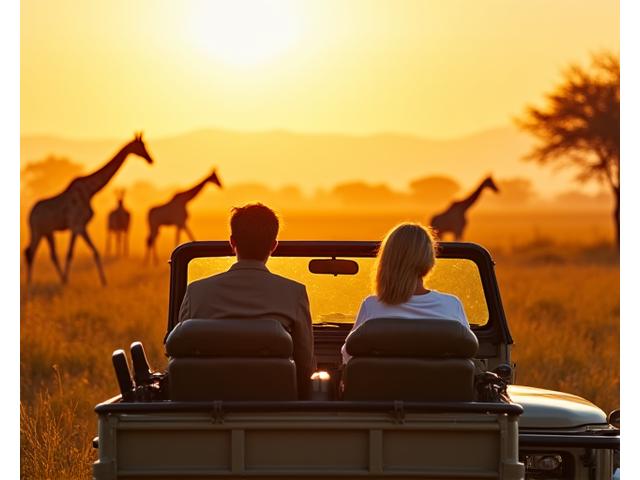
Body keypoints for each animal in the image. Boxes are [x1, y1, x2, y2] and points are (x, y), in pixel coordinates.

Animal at [24, 133, 154, 286]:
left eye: (145, 144)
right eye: (141, 146)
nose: (150, 160)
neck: (90, 191)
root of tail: (30, 214)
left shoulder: (83, 226)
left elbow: (96, 252)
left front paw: (104, 282)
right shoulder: (76, 226)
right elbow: (70, 253)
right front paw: (67, 281)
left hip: (47, 232)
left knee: (49, 254)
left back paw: (51, 279)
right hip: (37, 230)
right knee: (30, 252)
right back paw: (30, 283)